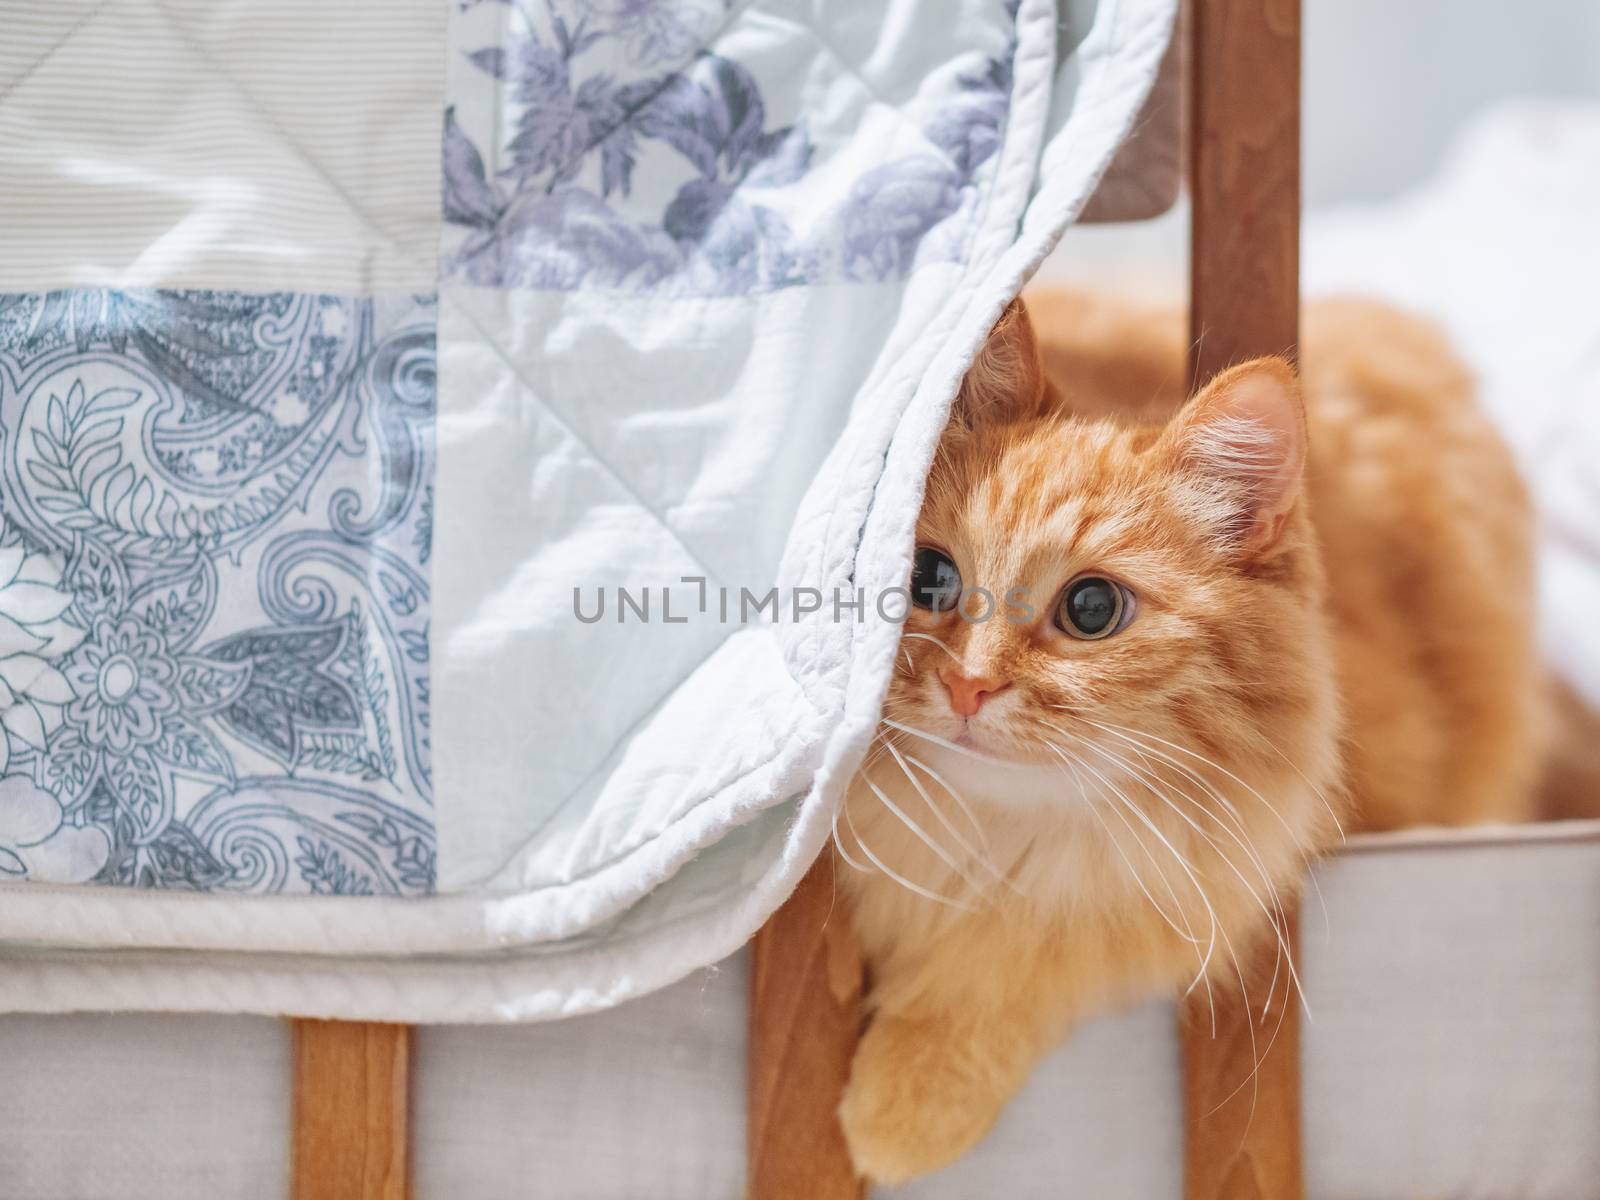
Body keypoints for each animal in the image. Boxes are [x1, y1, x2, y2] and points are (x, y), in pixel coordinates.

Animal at [832, 289, 1542, 1184]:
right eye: (928, 578)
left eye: (1092, 609)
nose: (967, 685)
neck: (982, 842)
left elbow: (1024, 959)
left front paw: (904, 1110)